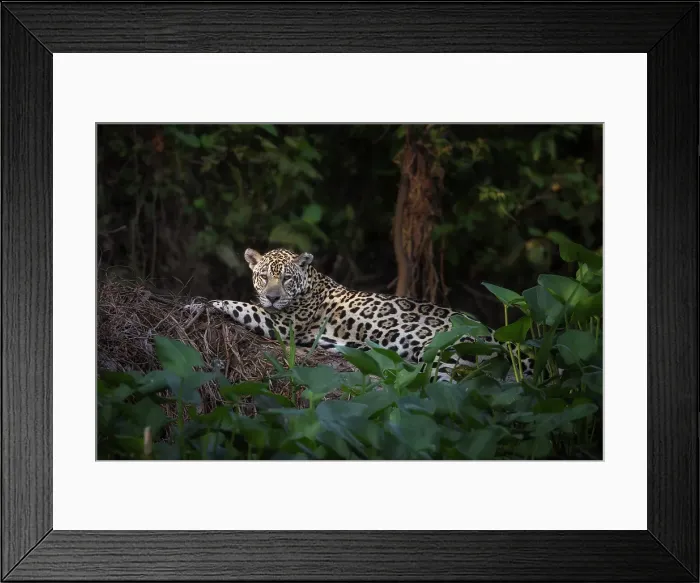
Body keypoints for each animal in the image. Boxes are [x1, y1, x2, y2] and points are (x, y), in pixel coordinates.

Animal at [184, 248, 534, 383]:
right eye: (263, 276)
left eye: (286, 279)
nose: (272, 296)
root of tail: (492, 332)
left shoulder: (285, 325)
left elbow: (240, 305)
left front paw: (199, 304)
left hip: (446, 352)